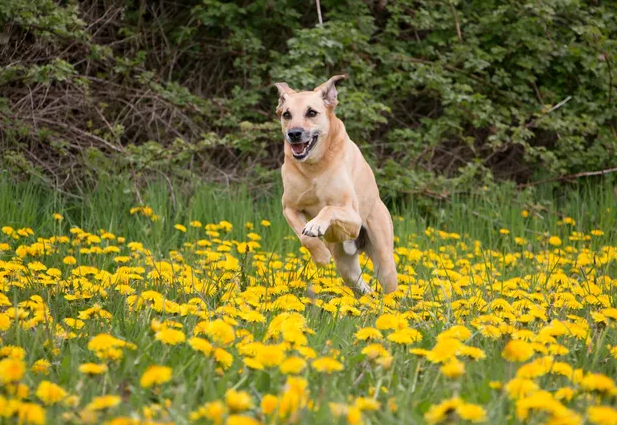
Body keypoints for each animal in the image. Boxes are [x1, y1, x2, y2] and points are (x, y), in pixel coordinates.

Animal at [274, 74, 400, 294]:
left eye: (312, 112)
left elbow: (329, 208)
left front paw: (316, 224)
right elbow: (304, 237)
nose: (294, 133)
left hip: (384, 260)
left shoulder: (353, 217)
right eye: (287, 114)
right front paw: (321, 256)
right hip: (346, 267)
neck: (314, 167)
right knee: (365, 290)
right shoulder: (289, 208)